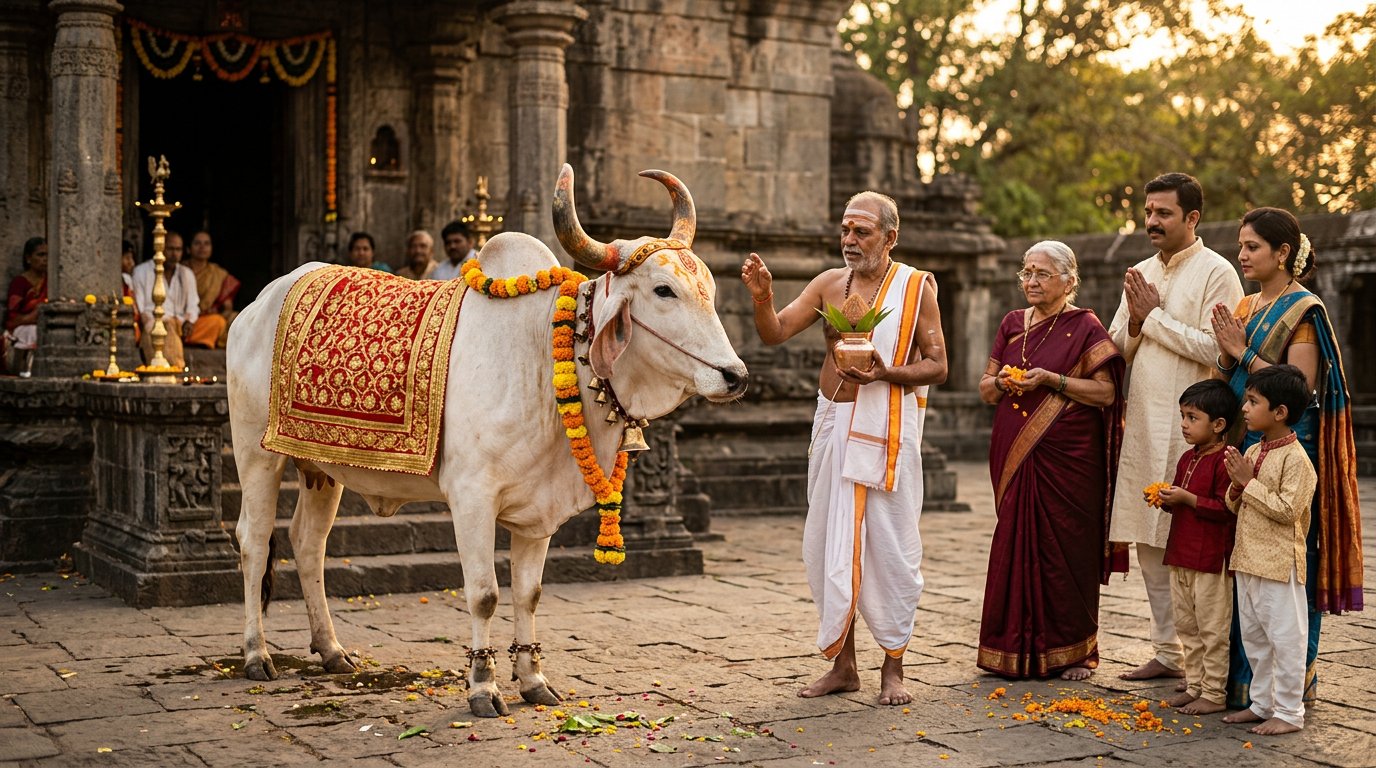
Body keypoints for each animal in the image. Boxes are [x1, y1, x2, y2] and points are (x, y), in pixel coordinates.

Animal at [226, 164, 748, 717]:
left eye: (711, 288)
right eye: (664, 291)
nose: (735, 376)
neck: (543, 359)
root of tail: (261, 301)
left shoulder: (539, 511)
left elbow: (528, 593)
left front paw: (533, 680)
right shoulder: (471, 498)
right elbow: (485, 594)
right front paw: (483, 685)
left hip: (319, 467)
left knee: (309, 543)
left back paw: (331, 650)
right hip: (256, 455)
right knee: (254, 542)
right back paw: (257, 655)